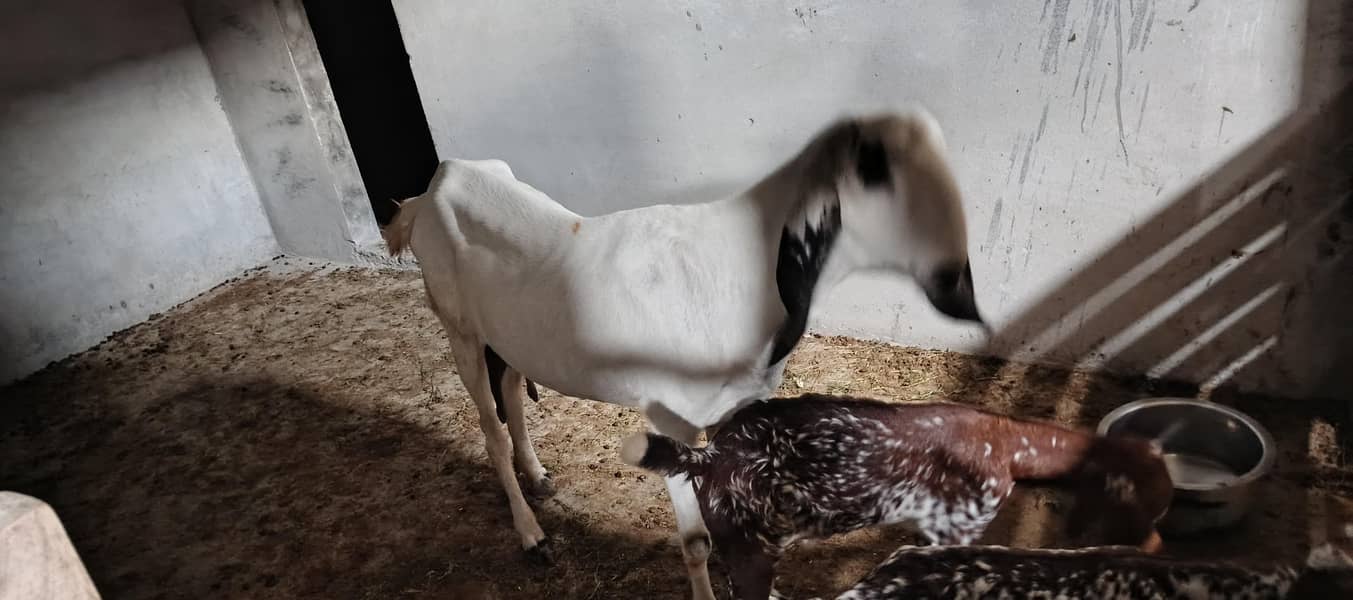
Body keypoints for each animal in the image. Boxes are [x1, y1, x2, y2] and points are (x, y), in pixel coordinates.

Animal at [384, 110, 985, 599]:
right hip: (459, 328)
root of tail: (434, 187)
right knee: (490, 427)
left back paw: (540, 477)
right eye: (874, 169)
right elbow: (695, 539)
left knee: (511, 390)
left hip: (510, 335)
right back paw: (531, 533)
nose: (957, 287)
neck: (738, 262)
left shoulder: (735, 410)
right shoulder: (669, 418)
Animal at [620, 394, 1174, 600]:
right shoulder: (961, 525)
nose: (1157, 546)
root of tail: (706, 457)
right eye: (1149, 503)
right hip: (751, 545)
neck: (1007, 444)